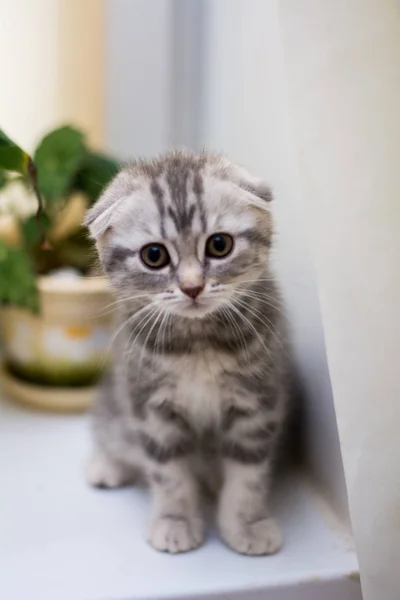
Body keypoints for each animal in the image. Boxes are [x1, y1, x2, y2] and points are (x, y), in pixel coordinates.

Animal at [84, 152, 288, 556]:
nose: (192, 287)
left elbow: (249, 473)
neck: (198, 346)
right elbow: (169, 474)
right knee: (109, 429)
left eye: (220, 245)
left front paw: (248, 523)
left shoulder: (258, 402)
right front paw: (174, 521)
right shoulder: (151, 406)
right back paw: (107, 465)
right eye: (154, 255)